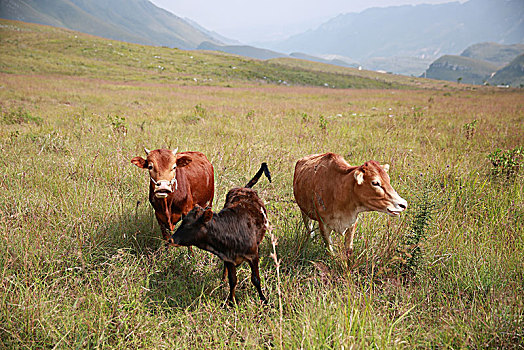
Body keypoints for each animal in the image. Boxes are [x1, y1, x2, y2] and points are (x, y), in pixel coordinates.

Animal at [171, 163, 270, 304]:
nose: (171, 239)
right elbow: (233, 280)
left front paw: (264, 299)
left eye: (189, 225)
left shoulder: (253, 255)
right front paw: (231, 302)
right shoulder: (228, 258)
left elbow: (255, 279)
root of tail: (245, 188)